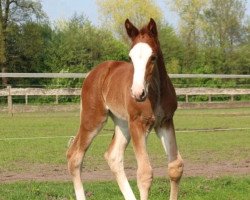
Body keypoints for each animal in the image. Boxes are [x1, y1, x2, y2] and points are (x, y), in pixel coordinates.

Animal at [66, 18, 184, 200]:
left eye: (153, 57)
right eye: (130, 57)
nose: (137, 93)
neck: (155, 92)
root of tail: (93, 73)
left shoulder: (165, 122)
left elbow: (175, 167)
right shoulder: (138, 124)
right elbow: (144, 174)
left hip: (122, 123)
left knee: (113, 156)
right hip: (93, 119)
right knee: (75, 156)